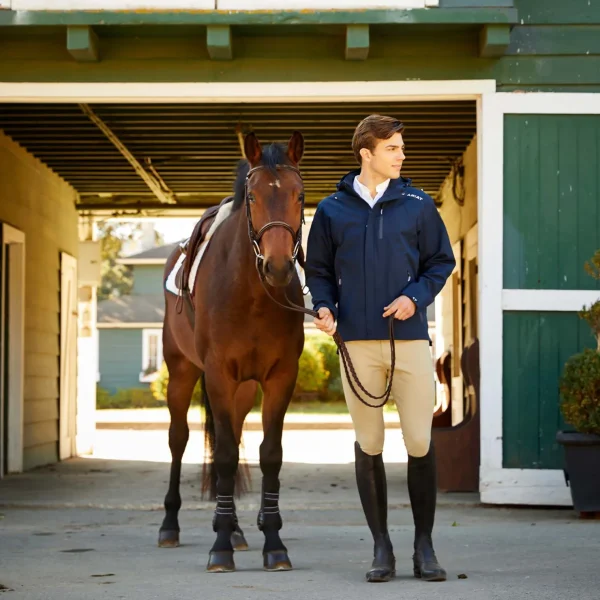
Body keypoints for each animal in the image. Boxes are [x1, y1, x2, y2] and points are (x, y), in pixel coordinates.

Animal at [157, 130, 308, 572]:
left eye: (299, 195)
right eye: (253, 196)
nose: (278, 266)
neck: (253, 293)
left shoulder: (279, 377)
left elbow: (269, 454)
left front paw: (273, 541)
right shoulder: (218, 374)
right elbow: (222, 455)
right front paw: (220, 546)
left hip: (243, 389)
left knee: (237, 435)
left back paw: (238, 529)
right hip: (182, 373)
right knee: (179, 439)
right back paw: (170, 525)